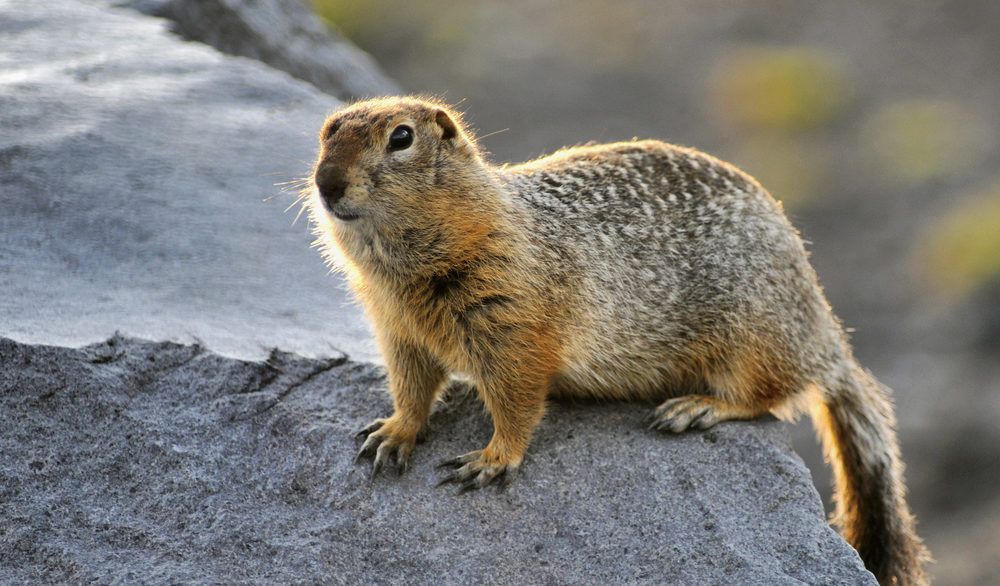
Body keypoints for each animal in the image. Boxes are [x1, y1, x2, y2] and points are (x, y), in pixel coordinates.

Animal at [305, 96, 929, 585]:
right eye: (328, 129)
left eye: (401, 138)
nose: (325, 182)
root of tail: (826, 335)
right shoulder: (397, 328)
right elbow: (411, 385)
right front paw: (393, 433)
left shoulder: (515, 322)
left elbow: (518, 396)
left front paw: (490, 459)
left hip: (753, 337)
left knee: (767, 395)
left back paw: (695, 408)